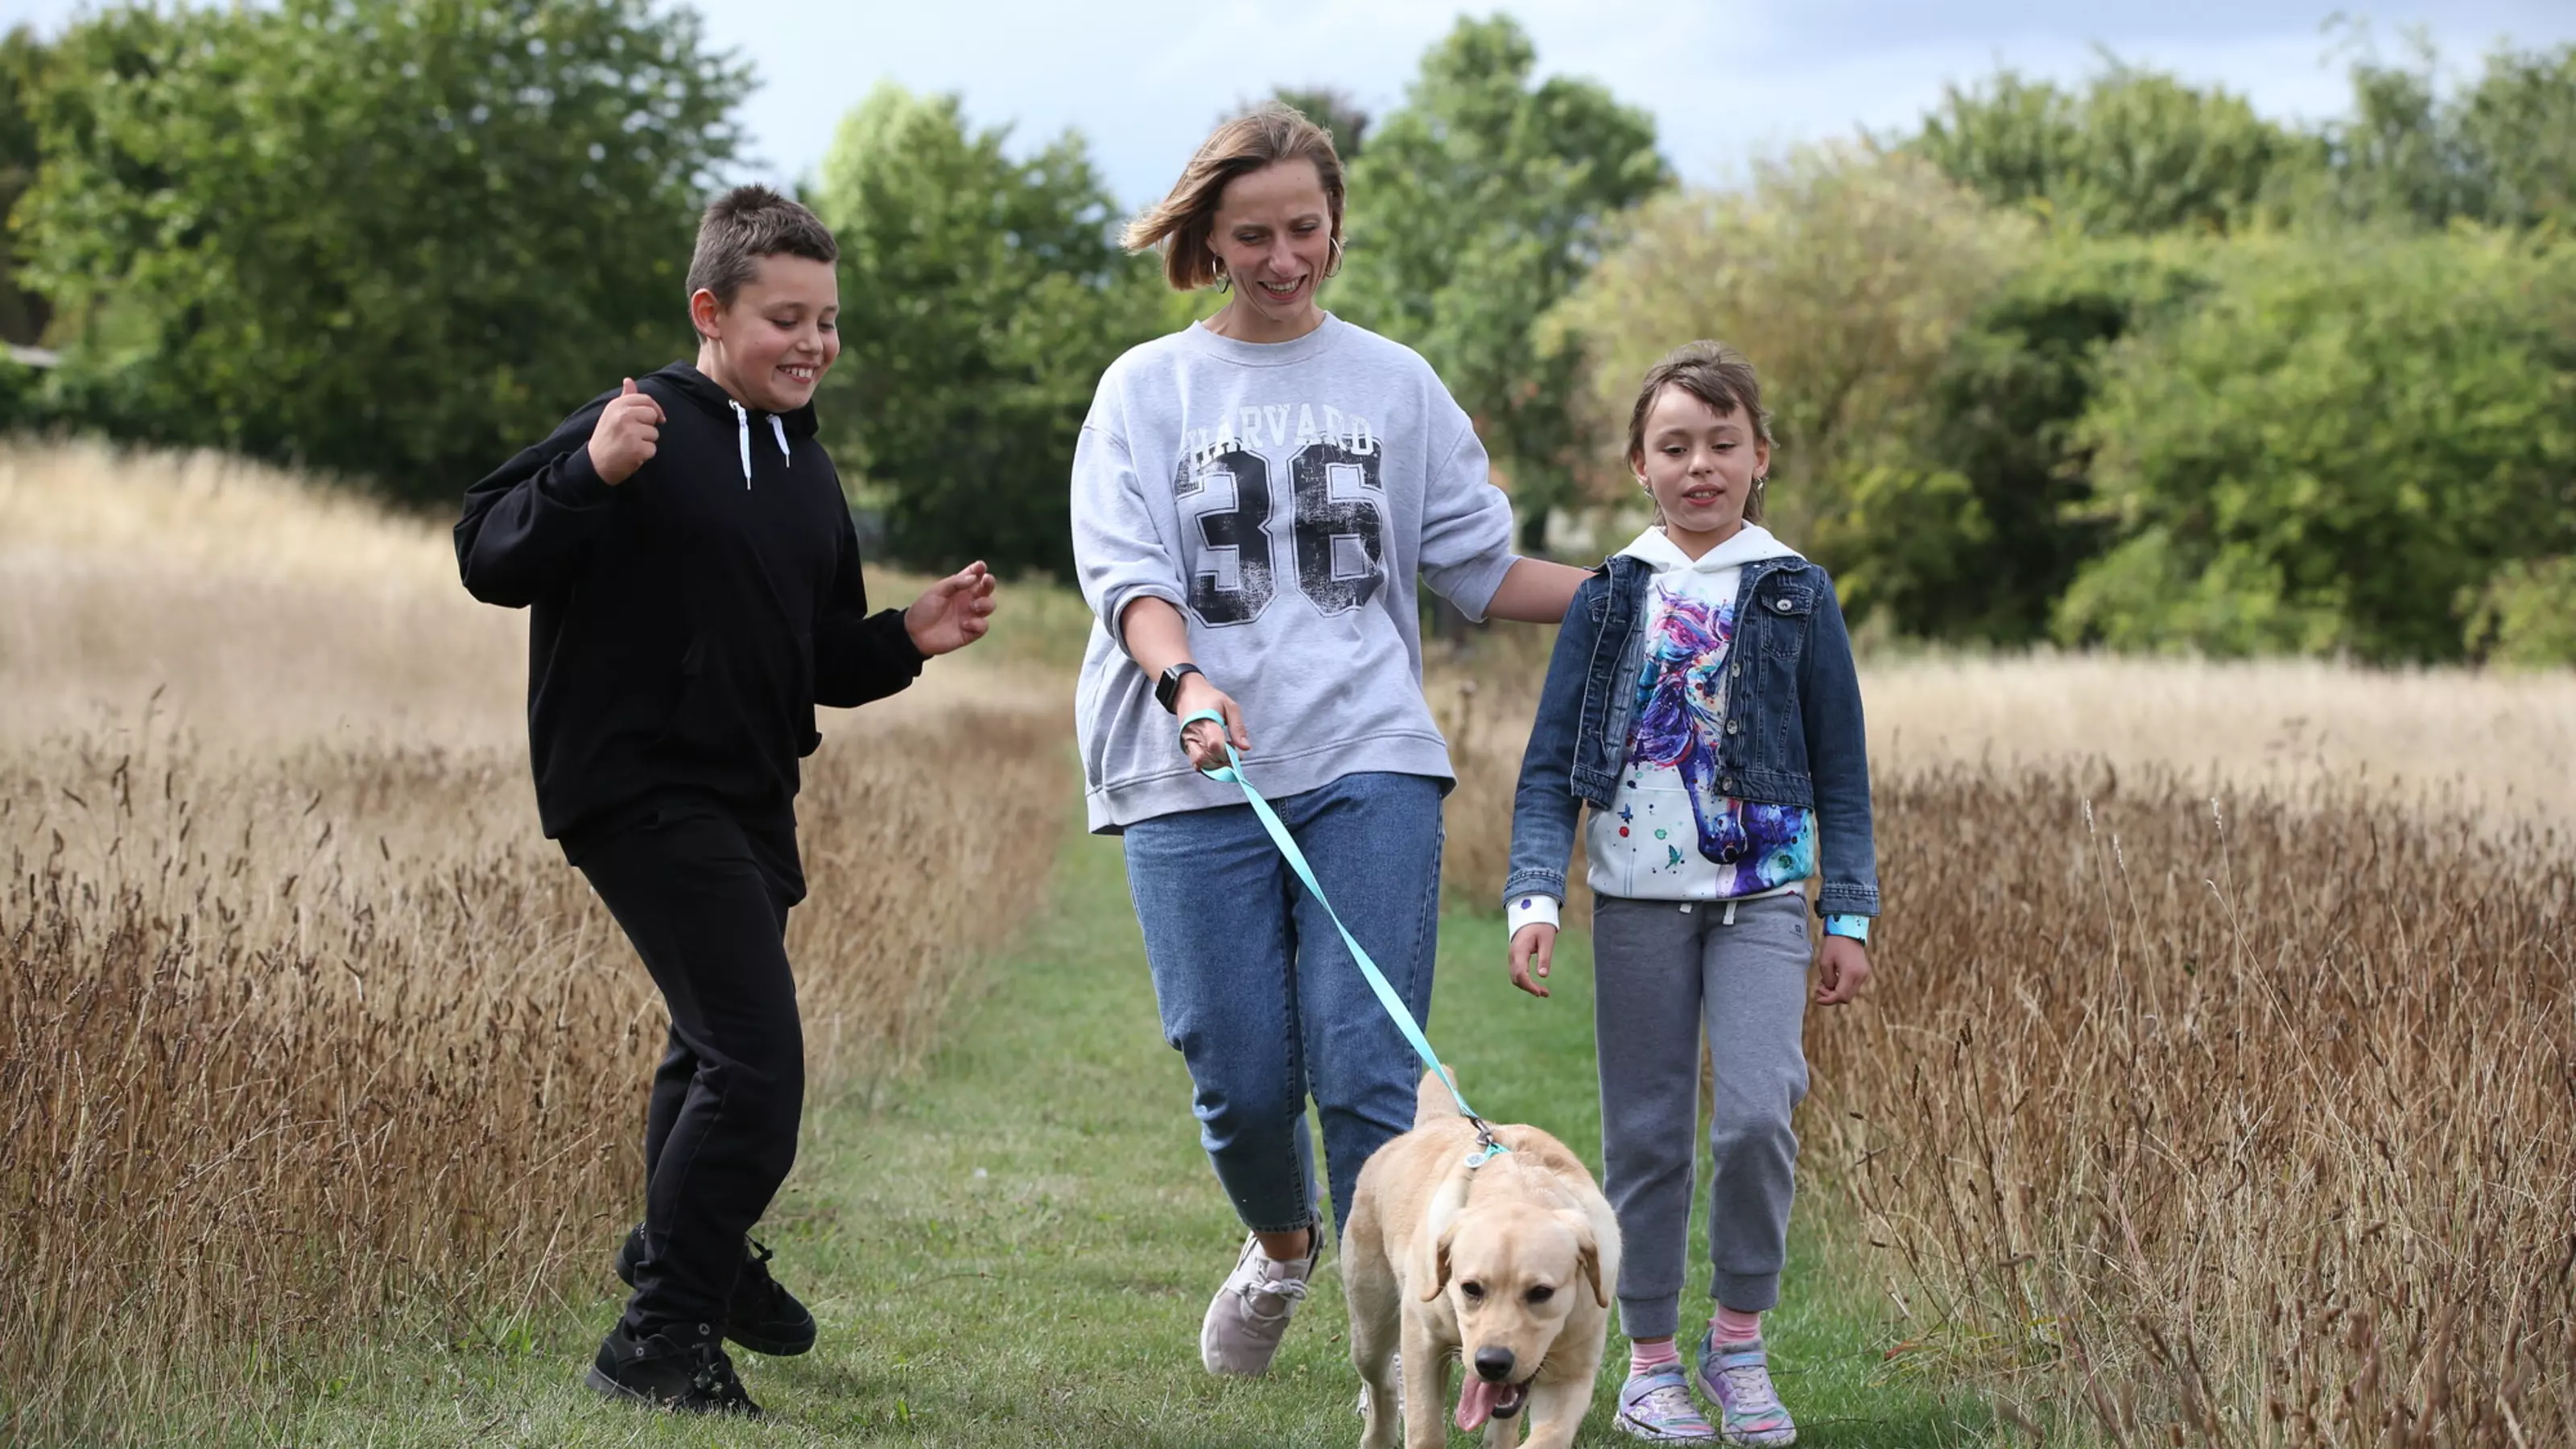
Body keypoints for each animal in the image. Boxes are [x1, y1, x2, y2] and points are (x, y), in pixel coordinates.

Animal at [1340, 1067, 1617, 1433]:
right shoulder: (1421, 1341)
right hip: (1370, 1324)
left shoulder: (1573, 1371)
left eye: (1541, 1292)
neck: (1519, 1188)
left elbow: (1548, 1435)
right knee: (1380, 1383)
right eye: (1471, 1288)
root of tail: (1433, 1122)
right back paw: (1378, 1435)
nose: (1492, 1363)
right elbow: (1425, 1428)